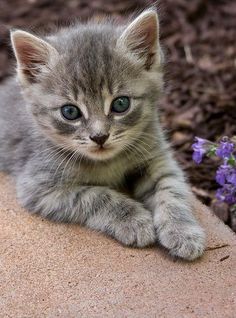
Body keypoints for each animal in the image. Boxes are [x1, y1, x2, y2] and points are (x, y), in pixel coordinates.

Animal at [0, 8, 205, 260]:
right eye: (70, 112)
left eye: (120, 104)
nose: (99, 137)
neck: (108, 162)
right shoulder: (37, 187)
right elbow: (96, 196)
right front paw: (134, 220)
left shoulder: (157, 158)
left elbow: (171, 190)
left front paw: (182, 231)